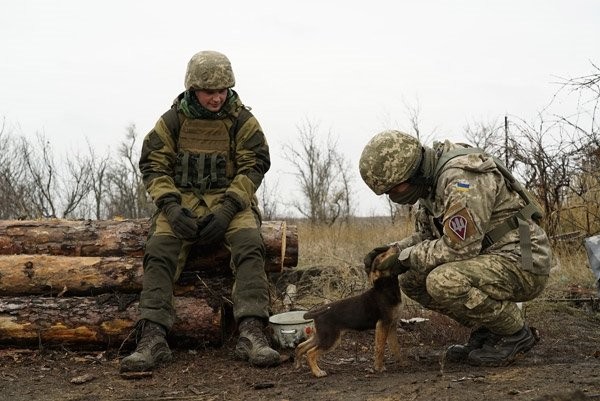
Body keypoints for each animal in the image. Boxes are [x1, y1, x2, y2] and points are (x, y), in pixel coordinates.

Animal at [296, 245, 404, 376]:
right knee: (310, 353)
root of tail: (317, 312)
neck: (386, 288)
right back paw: (317, 372)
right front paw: (378, 368)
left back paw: (298, 365)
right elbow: (380, 348)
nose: (395, 245)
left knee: (301, 346)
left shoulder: (392, 325)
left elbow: (395, 347)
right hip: (330, 338)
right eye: (383, 256)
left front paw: (403, 364)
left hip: (320, 335)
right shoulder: (383, 324)